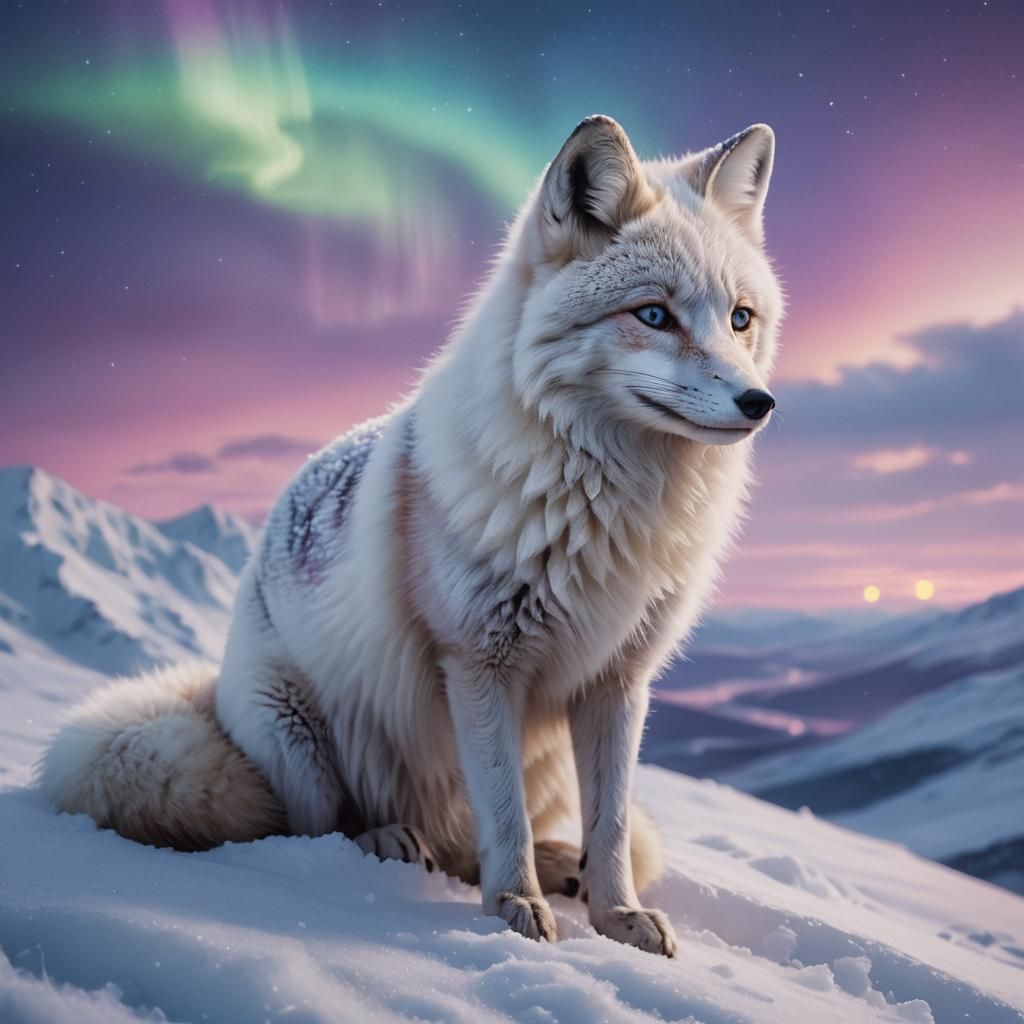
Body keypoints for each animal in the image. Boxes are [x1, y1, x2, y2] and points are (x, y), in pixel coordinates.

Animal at [39, 115, 782, 957]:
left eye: (741, 319)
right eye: (653, 315)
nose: (759, 402)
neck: (608, 510)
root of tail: (215, 681)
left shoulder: (618, 681)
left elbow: (614, 822)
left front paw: (616, 916)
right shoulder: (479, 663)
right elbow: (502, 818)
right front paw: (515, 910)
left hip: (546, 761)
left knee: (469, 842)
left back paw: (557, 865)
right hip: (295, 734)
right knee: (318, 828)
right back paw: (392, 840)